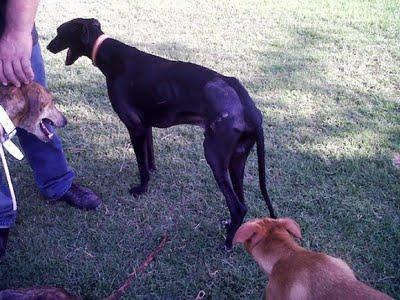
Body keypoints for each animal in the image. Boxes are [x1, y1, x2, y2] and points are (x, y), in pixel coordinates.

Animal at [47, 17, 276, 250]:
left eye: (59, 32)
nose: (48, 47)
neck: (110, 55)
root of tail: (251, 112)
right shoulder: (145, 127)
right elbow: (149, 158)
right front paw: (152, 173)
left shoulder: (135, 128)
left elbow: (141, 165)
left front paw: (141, 189)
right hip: (237, 159)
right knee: (242, 203)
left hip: (215, 156)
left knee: (238, 207)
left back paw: (228, 243)